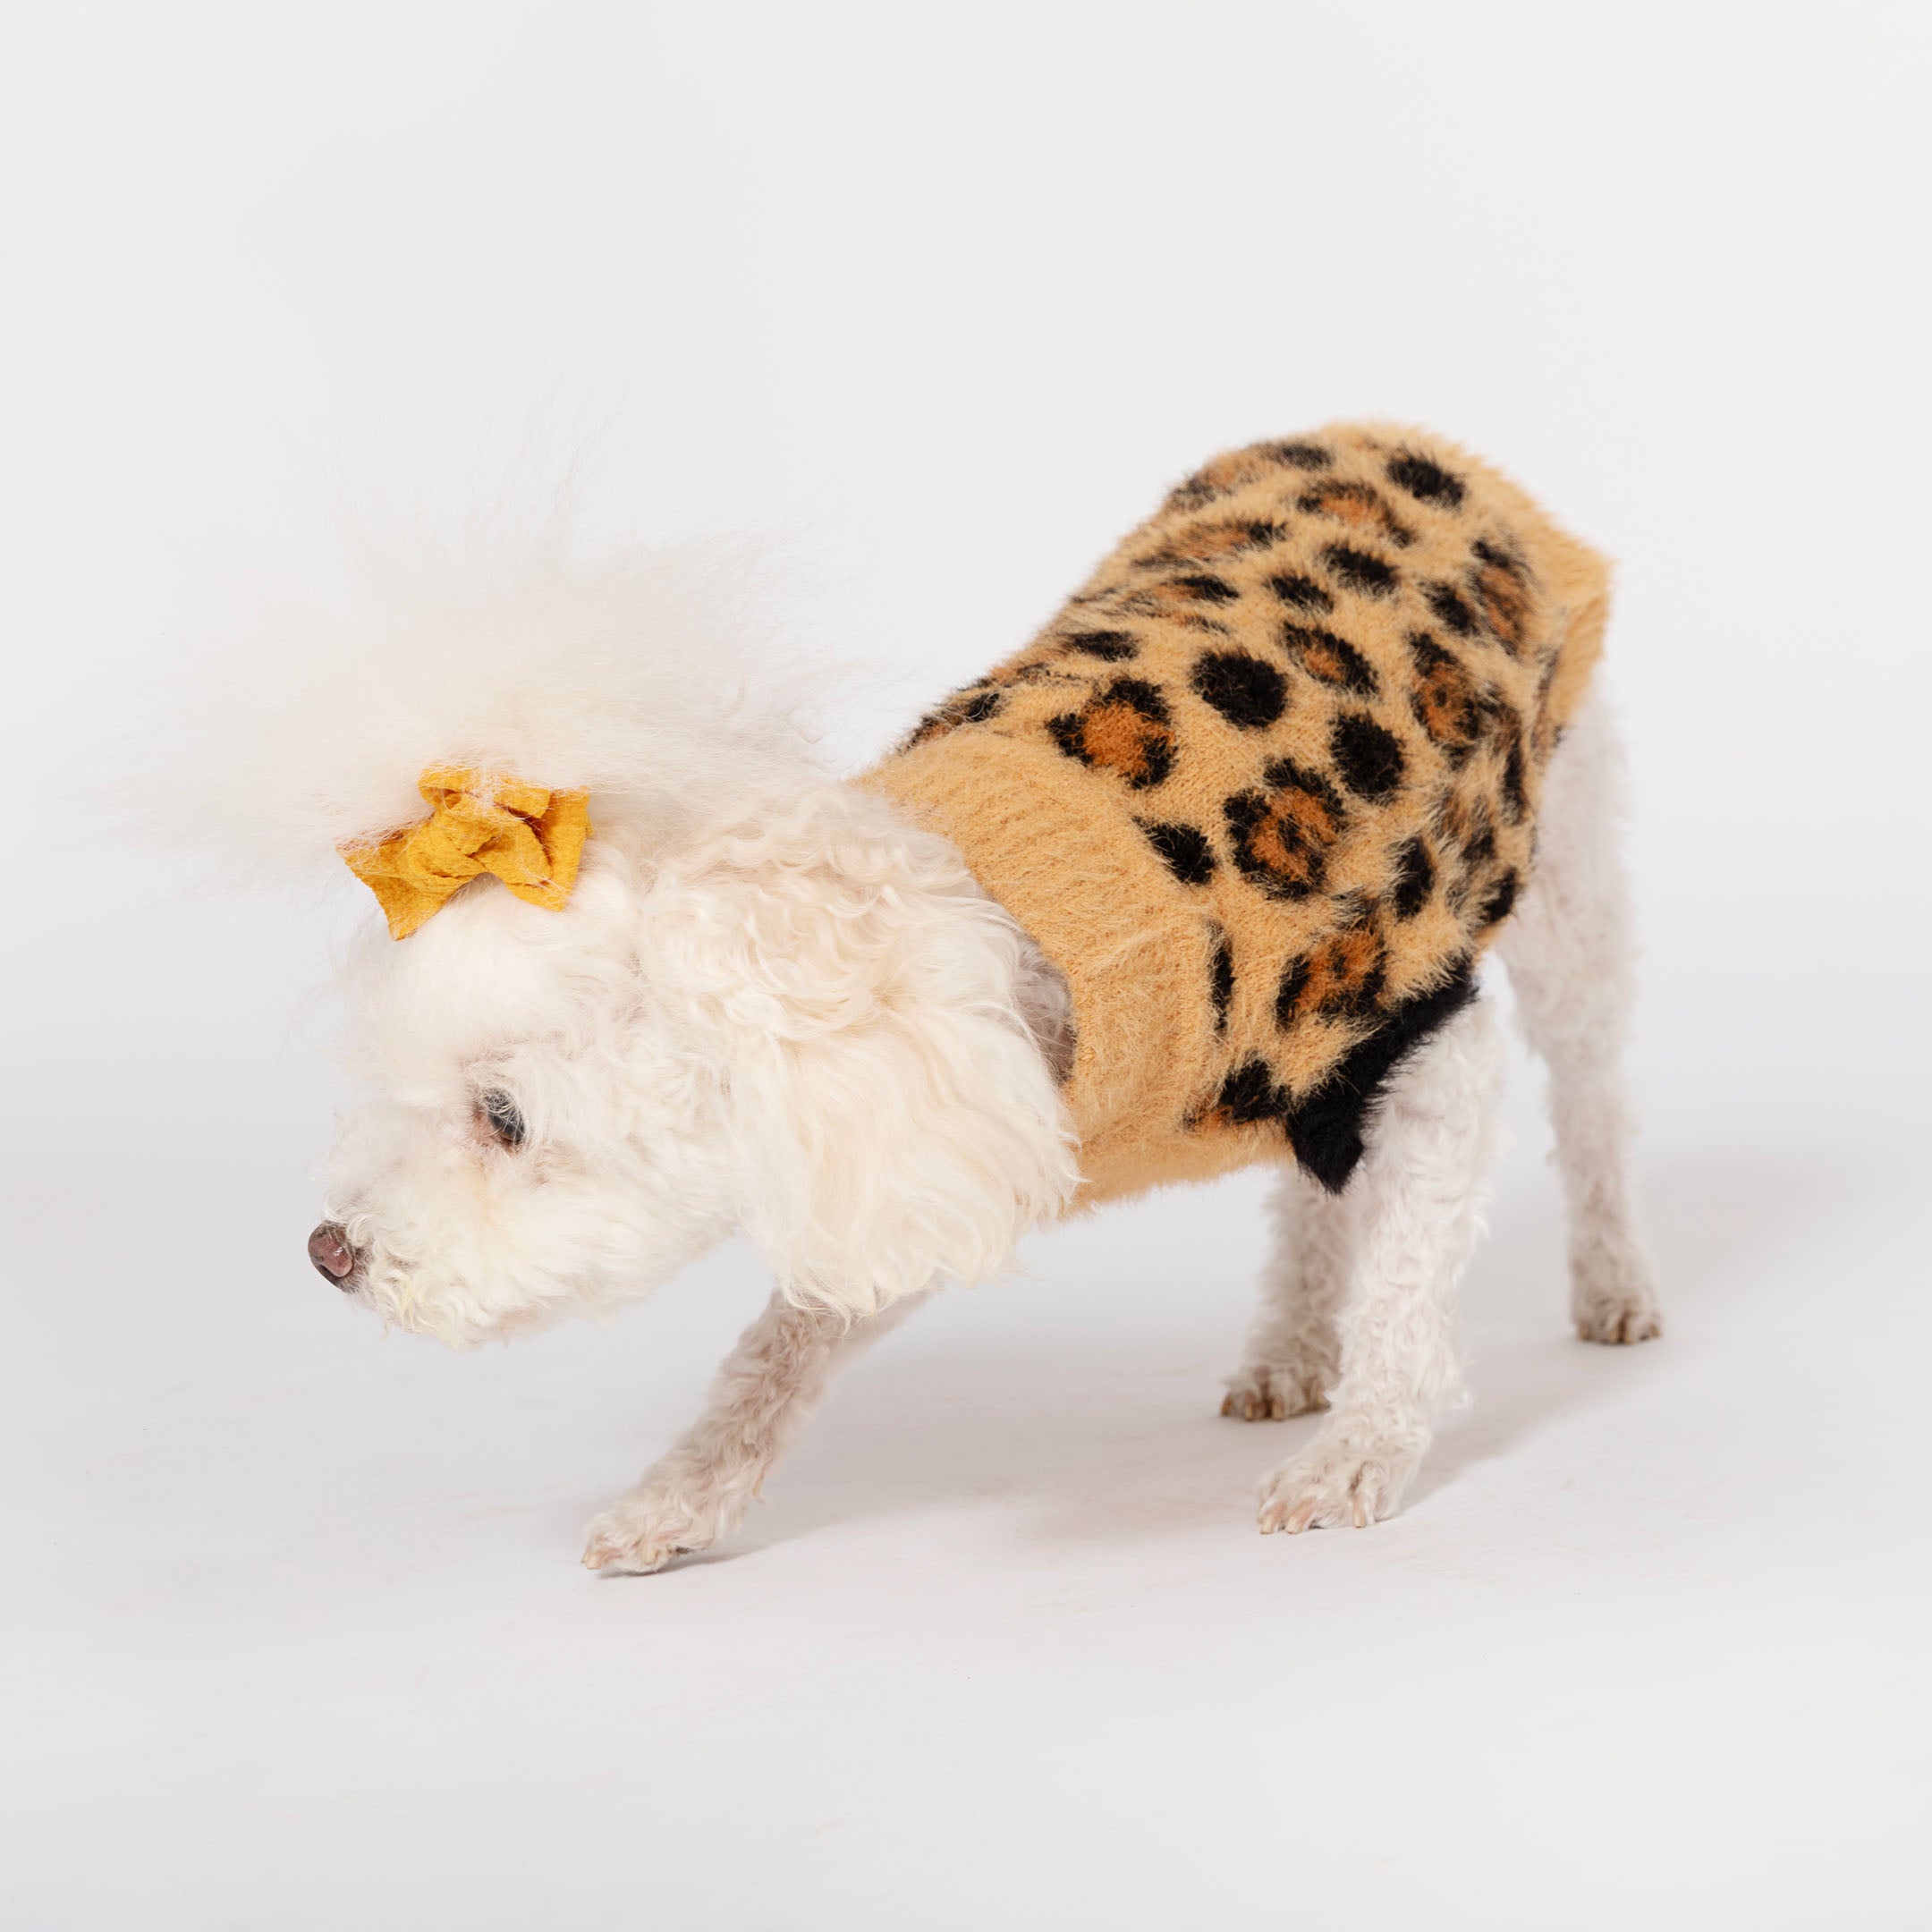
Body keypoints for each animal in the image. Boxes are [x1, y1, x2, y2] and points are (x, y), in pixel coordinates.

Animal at [203, 427, 1661, 1568]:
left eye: (504, 1119)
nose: (330, 1252)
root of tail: (1410, 439)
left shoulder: (1421, 1042)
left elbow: (1410, 1283)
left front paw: (1364, 1450)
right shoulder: (923, 1161)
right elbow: (783, 1345)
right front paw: (687, 1494)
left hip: (1567, 886)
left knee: (1592, 1098)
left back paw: (1610, 1286)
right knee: (1312, 1189)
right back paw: (1291, 1347)